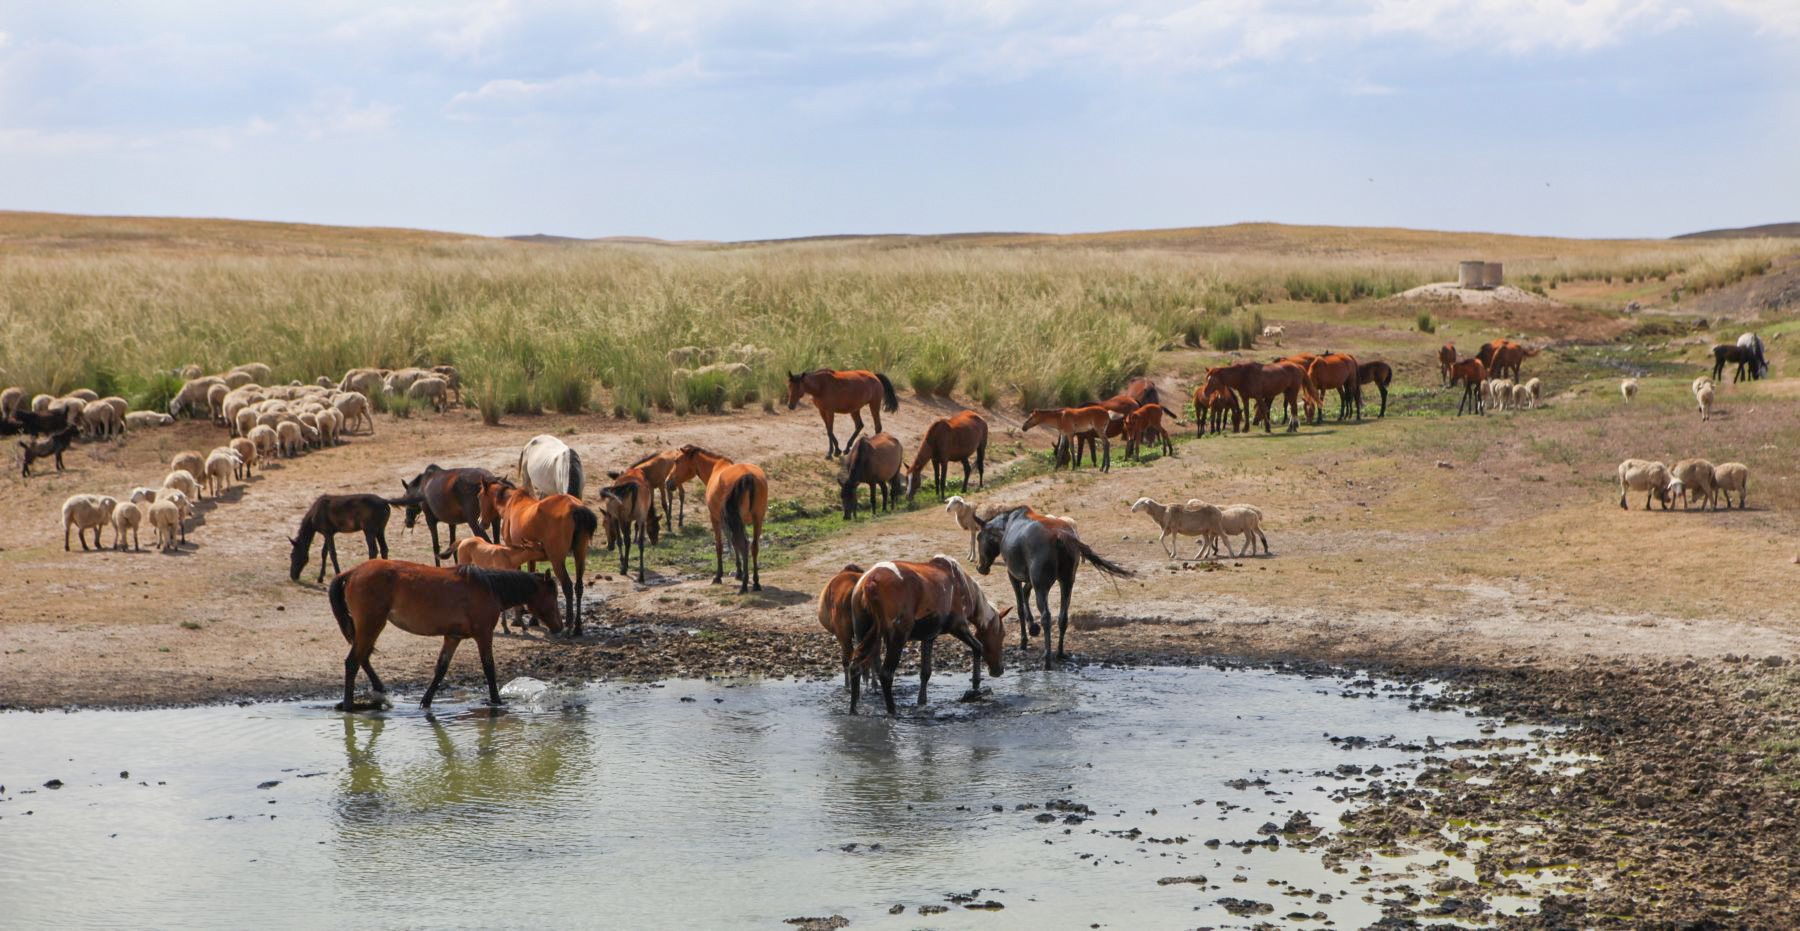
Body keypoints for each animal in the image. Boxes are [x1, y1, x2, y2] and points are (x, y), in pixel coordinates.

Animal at [325, 558, 561, 713]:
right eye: (553, 595)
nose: (559, 627)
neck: (489, 588)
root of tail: (352, 572)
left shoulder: (452, 637)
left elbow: (441, 669)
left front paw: (426, 702)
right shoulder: (484, 634)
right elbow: (489, 668)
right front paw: (496, 701)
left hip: (368, 627)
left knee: (363, 658)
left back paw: (377, 692)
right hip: (372, 624)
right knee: (353, 662)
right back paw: (349, 705)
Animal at [478, 482, 597, 633]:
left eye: (479, 496)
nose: (480, 523)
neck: (511, 503)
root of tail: (575, 507)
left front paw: (518, 619)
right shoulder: (530, 557)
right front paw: (533, 619)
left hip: (557, 560)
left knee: (568, 586)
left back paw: (569, 625)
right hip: (580, 555)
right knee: (579, 587)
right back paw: (577, 627)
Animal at [669, 441, 766, 587]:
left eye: (676, 461)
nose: (667, 482)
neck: (715, 467)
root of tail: (748, 477)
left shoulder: (716, 519)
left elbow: (720, 545)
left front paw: (719, 575)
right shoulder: (733, 522)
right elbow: (733, 543)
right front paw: (739, 572)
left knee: (743, 544)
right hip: (757, 519)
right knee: (753, 546)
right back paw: (755, 582)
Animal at [846, 554, 1015, 716]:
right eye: (1002, 634)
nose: (999, 670)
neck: (963, 587)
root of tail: (869, 582)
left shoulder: (928, 636)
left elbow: (925, 672)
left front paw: (922, 701)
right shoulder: (958, 626)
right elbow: (978, 647)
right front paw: (976, 684)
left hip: (863, 633)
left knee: (855, 666)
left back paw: (853, 709)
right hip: (897, 638)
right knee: (886, 674)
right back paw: (892, 711)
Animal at [979, 504, 1130, 662]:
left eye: (978, 538)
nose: (980, 567)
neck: (1006, 526)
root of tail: (1061, 536)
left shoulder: (1013, 575)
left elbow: (1020, 608)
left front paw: (1024, 641)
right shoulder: (1031, 579)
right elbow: (1026, 594)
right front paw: (1033, 627)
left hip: (1043, 586)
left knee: (1046, 617)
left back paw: (1047, 657)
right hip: (1066, 582)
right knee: (1063, 617)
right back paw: (1060, 653)